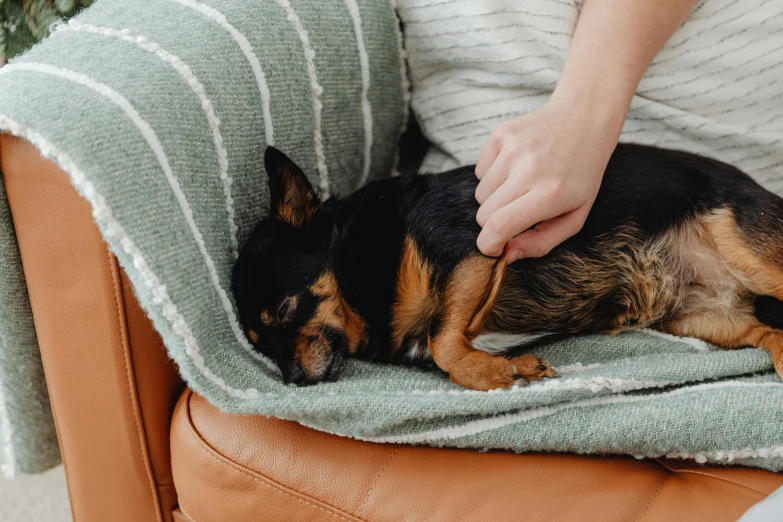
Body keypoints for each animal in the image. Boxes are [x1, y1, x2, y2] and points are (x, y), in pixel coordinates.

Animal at [231, 144, 783, 388]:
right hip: (705, 319)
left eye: (286, 309)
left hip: (742, 243)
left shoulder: (476, 248)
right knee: (769, 334)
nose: (292, 382)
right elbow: (442, 344)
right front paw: (509, 365)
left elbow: (443, 338)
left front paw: (489, 372)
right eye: (260, 345)